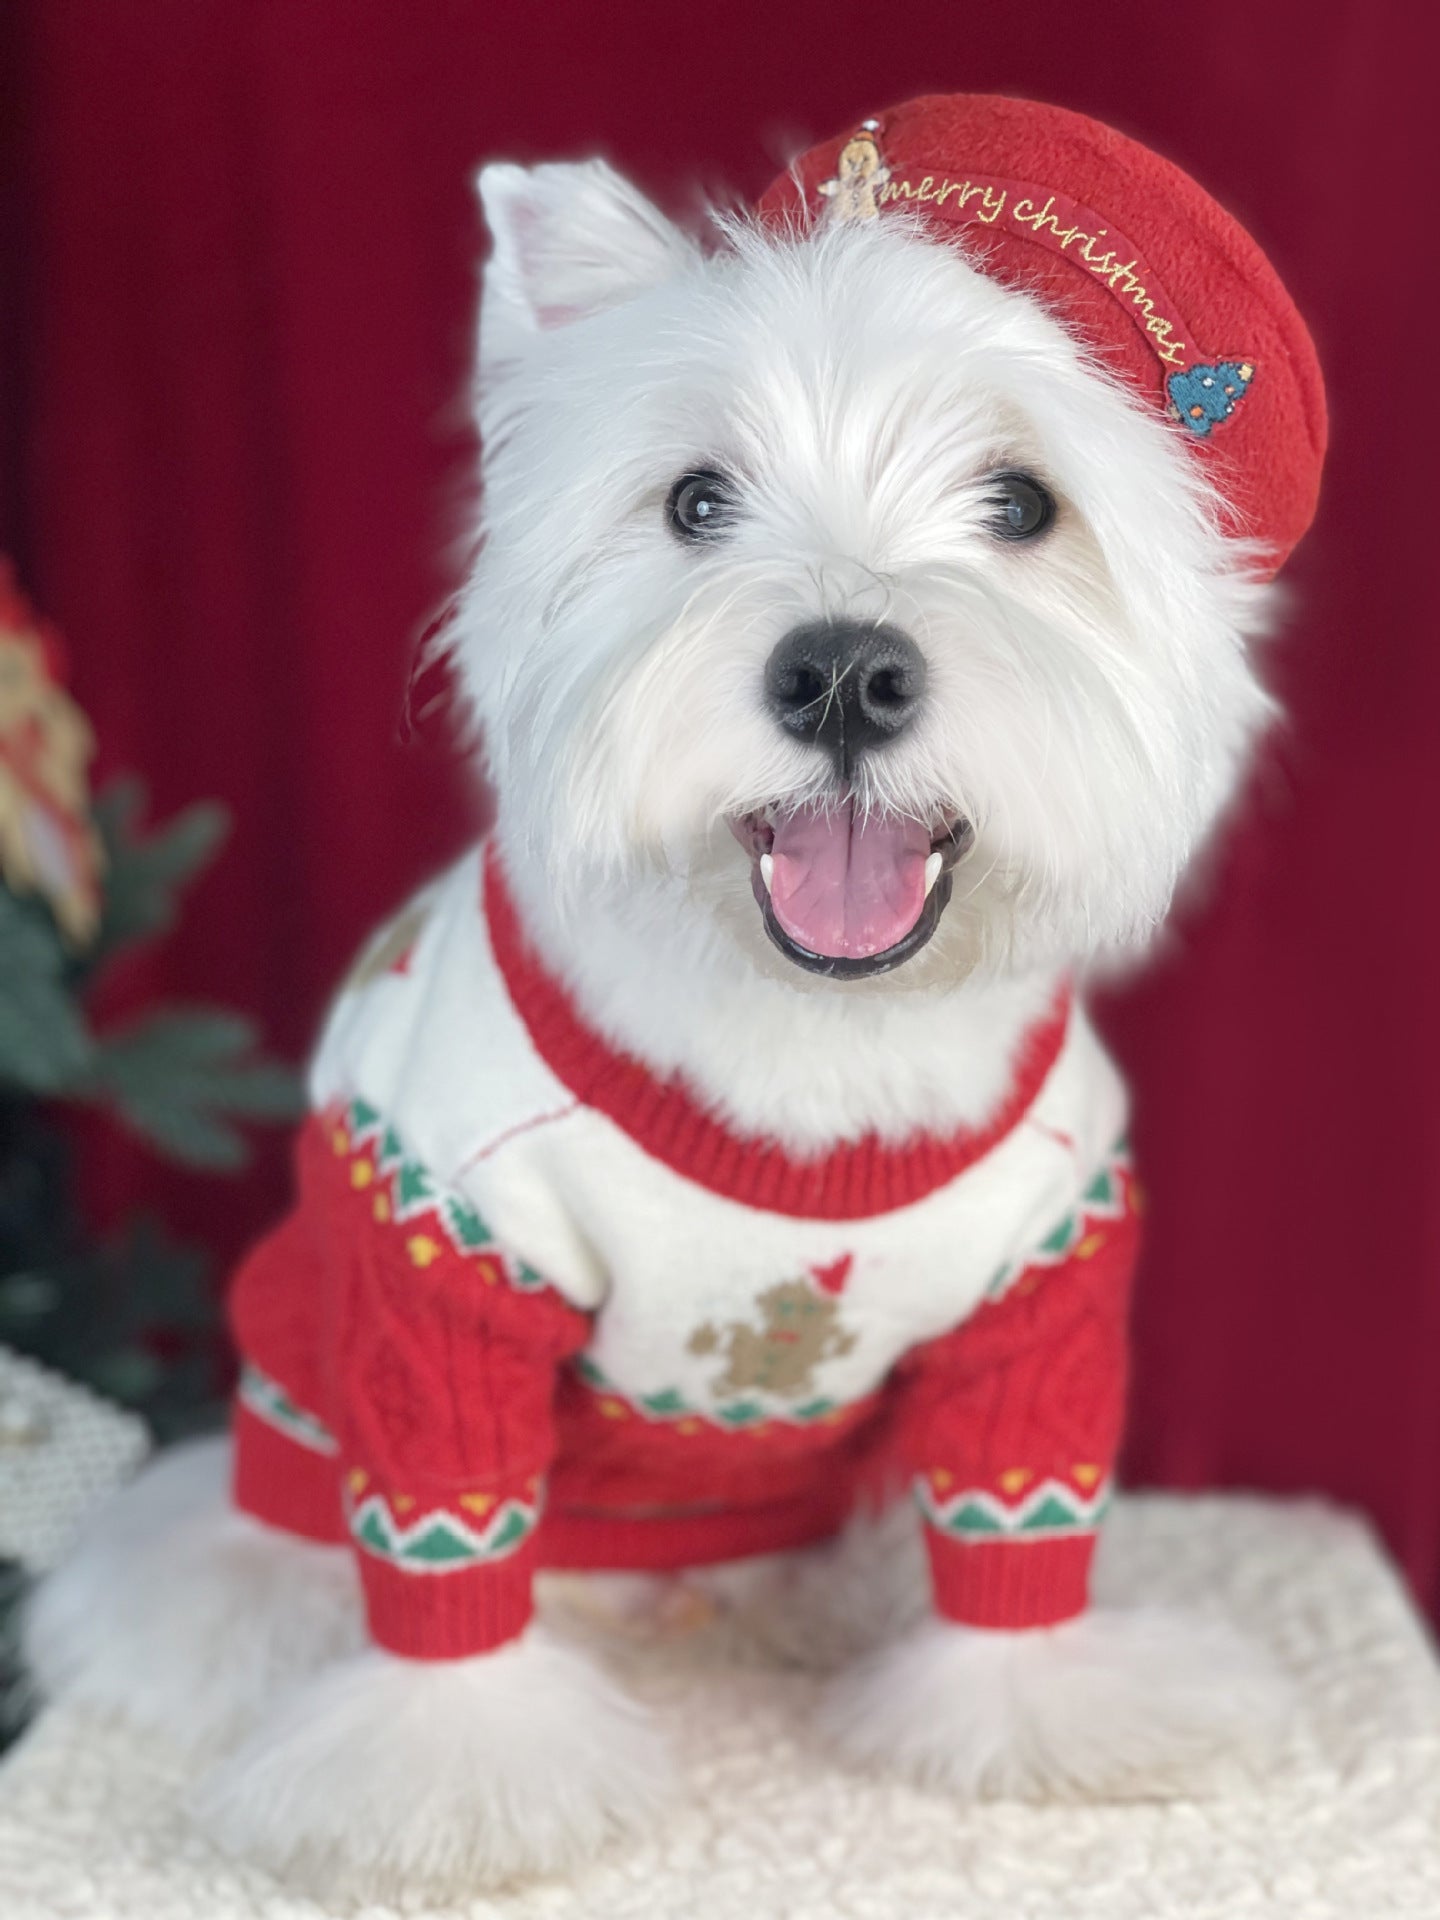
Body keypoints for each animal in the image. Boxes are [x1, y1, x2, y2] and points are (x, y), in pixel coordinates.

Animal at [25, 97, 1328, 1896]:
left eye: (1022, 503)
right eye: (699, 498)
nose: (843, 671)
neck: (809, 1040)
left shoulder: (1051, 1274)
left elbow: (1023, 1506)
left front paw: (1042, 1694)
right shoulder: (444, 1259)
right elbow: (439, 1543)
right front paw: (447, 1775)